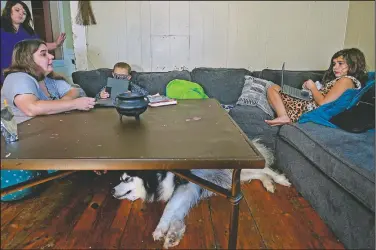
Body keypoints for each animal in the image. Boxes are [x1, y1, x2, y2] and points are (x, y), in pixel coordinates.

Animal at [111, 139, 290, 248]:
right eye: (120, 179)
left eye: (126, 179)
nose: (112, 190)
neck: (157, 177)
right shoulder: (187, 192)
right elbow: (177, 213)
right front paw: (174, 234)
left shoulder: (185, 186)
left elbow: (169, 208)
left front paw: (161, 229)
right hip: (237, 177)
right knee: (260, 174)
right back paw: (269, 184)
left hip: (239, 171)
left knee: (266, 169)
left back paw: (280, 180)